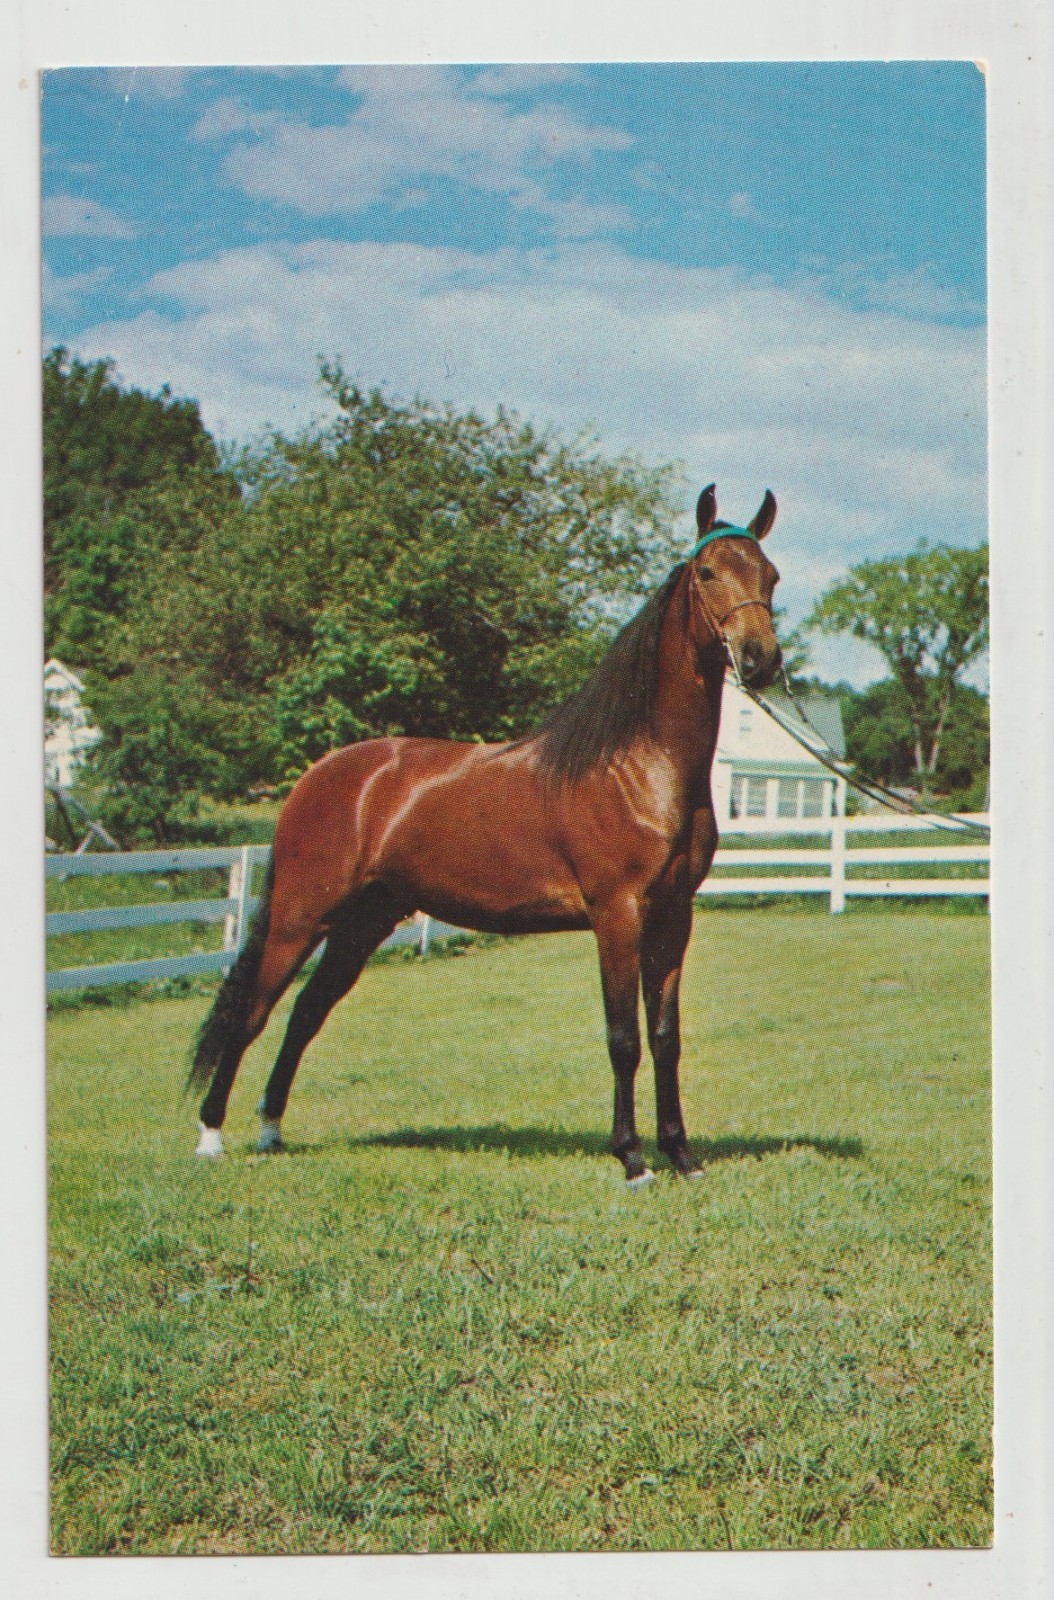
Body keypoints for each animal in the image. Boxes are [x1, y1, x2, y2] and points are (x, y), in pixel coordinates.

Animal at [188, 483, 783, 1185]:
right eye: (708, 572)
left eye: (771, 576)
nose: (761, 659)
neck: (640, 768)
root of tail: (321, 776)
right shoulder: (618, 914)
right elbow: (624, 1038)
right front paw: (633, 1159)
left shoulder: (672, 916)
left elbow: (666, 1037)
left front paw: (682, 1155)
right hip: (300, 916)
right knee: (253, 1012)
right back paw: (211, 1135)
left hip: (365, 919)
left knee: (307, 1011)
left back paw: (272, 1131)